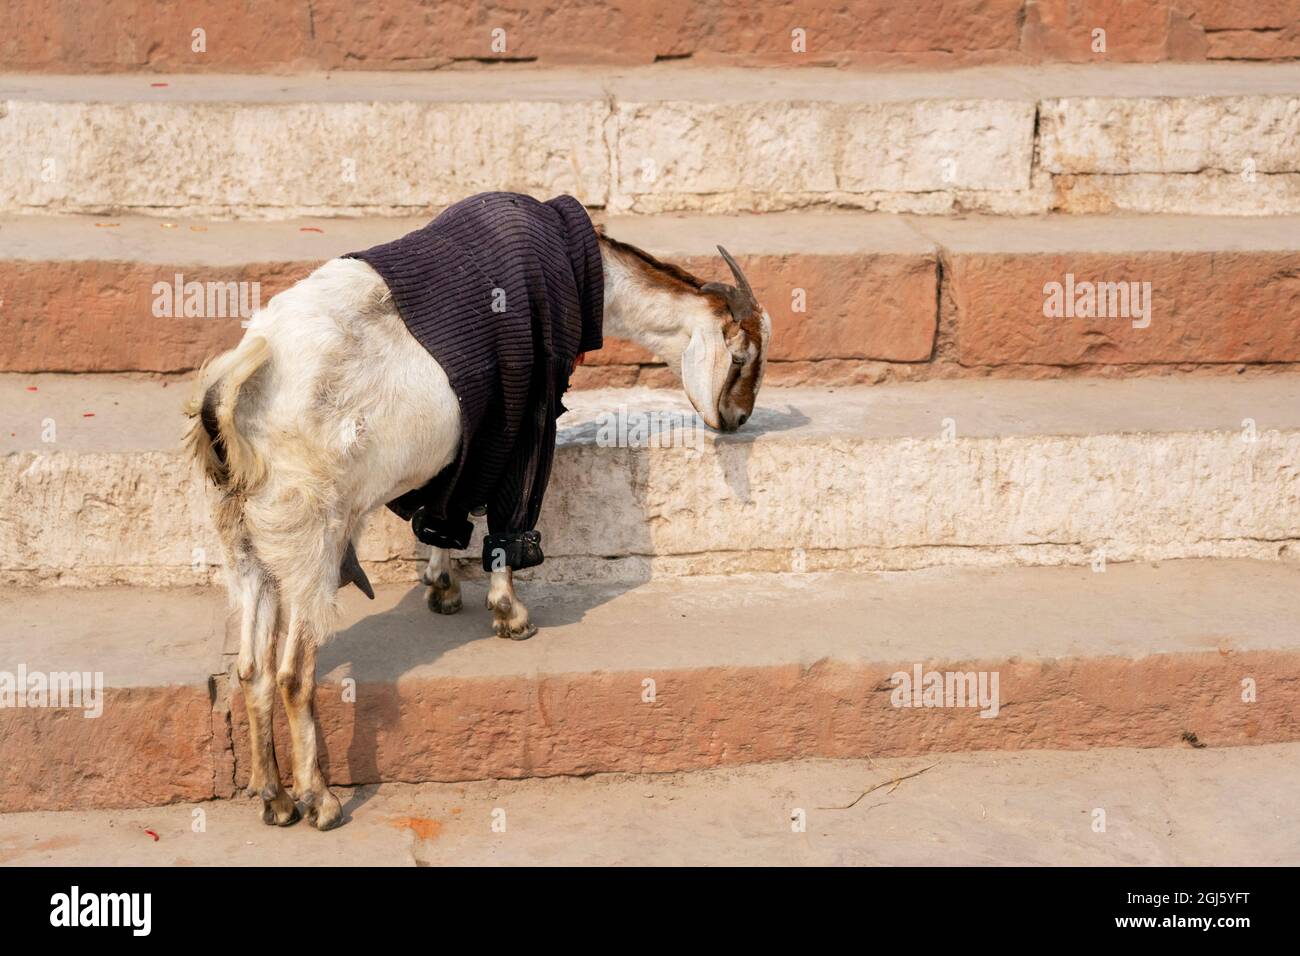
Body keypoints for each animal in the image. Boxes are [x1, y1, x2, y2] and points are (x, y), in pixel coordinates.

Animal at [184, 228, 770, 830]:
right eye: (742, 355)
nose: (737, 419)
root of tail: (231, 396)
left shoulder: (470, 434)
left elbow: (448, 506)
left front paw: (442, 586)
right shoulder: (529, 410)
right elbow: (507, 518)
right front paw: (511, 615)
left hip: (246, 546)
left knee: (251, 668)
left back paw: (274, 798)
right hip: (310, 539)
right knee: (292, 674)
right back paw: (319, 801)